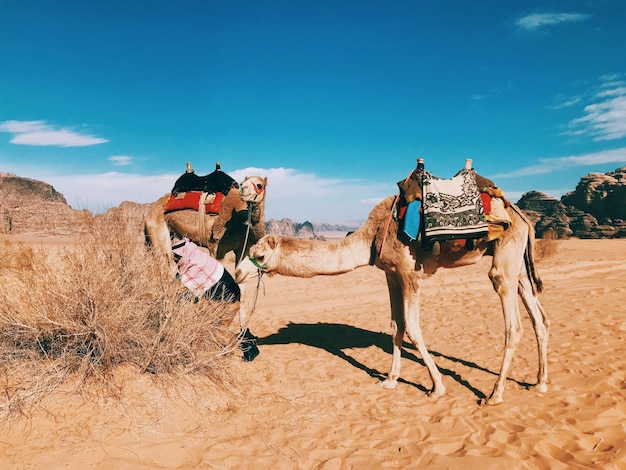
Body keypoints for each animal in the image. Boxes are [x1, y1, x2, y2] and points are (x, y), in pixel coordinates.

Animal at [236, 195, 548, 404]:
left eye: (259, 255)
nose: (238, 272)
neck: (372, 236)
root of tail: (523, 217)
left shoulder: (410, 272)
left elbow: (413, 328)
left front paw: (437, 387)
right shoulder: (391, 274)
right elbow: (396, 325)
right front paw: (390, 379)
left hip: (505, 256)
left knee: (513, 323)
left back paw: (495, 393)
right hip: (519, 262)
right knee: (540, 319)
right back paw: (540, 383)